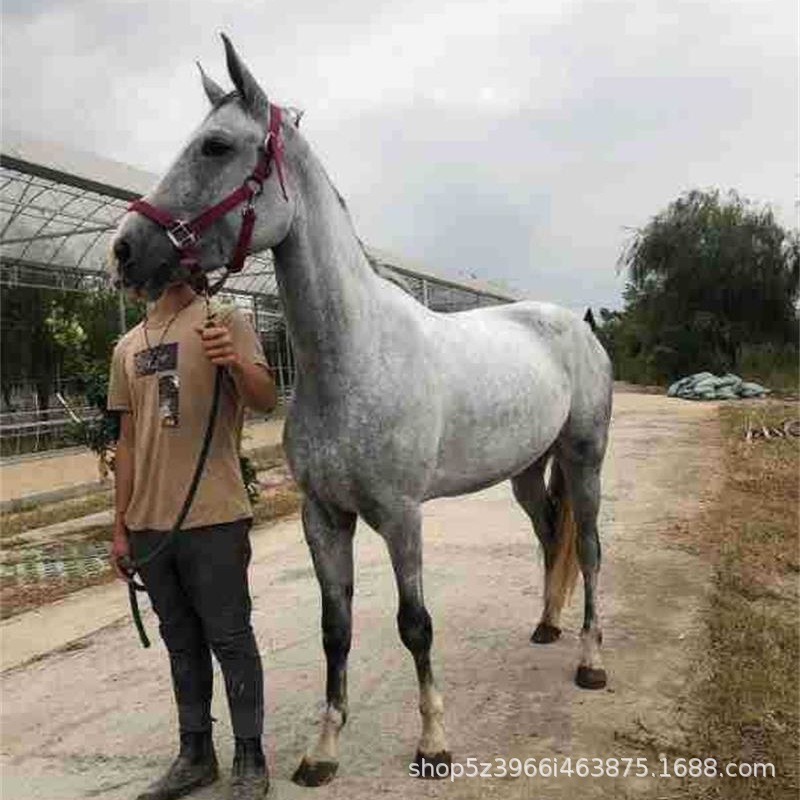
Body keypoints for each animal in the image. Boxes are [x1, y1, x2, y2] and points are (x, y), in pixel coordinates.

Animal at [111, 35, 613, 787]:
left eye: (215, 146)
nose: (124, 248)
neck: (352, 355)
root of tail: (577, 325)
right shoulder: (325, 516)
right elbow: (335, 628)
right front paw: (323, 750)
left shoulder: (402, 516)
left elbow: (416, 624)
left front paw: (433, 742)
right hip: (528, 470)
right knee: (550, 534)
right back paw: (547, 626)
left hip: (584, 460)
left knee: (587, 546)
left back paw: (590, 660)